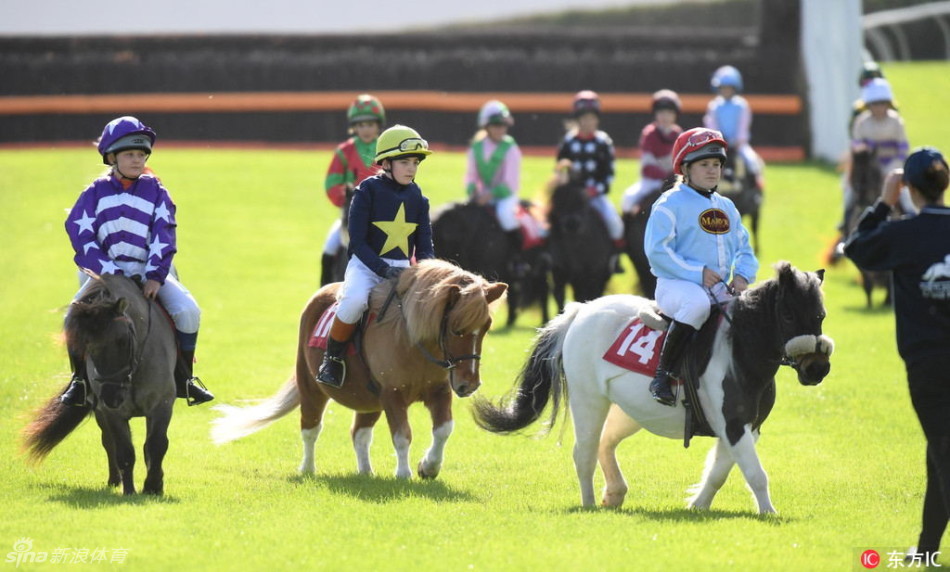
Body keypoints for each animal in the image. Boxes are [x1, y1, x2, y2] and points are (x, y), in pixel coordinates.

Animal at [20, 274, 177, 494]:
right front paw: (130, 491)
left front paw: (153, 487)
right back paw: (114, 481)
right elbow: (124, 451)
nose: (112, 397)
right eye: (85, 347)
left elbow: (156, 445)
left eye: (123, 340)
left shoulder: (162, 405)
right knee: (108, 442)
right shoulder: (112, 414)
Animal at [213, 262, 510, 480]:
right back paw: (308, 469)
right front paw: (404, 474)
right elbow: (402, 435)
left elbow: (444, 430)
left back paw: (365, 472)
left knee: (360, 433)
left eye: (486, 327)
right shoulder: (393, 395)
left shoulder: (438, 392)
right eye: (456, 329)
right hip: (312, 388)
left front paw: (429, 466)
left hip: (370, 401)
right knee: (310, 428)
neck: (411, 338)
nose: (469, 384)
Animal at [476, 260, 832, 512]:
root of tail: (580, 310)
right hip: (588, 400)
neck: (739, 349)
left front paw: (698, 505)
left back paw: (614, 493)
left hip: (630, 410)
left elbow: (720, 472)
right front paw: (769, 512)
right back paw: (589, 504)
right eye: (788, 315)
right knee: (585, 452)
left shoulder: (745, 427)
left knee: (605, 442)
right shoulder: (732, 424)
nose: (818, 369)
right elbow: (755, 474)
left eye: (821, 315)